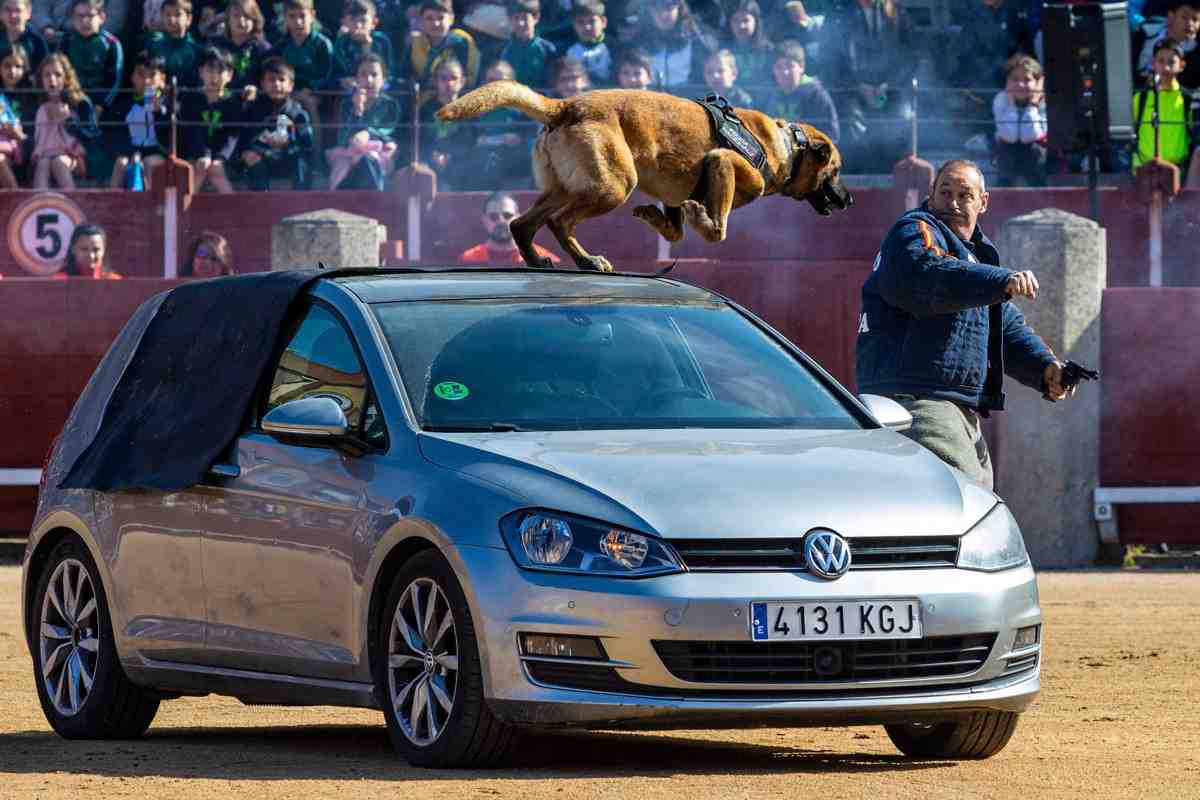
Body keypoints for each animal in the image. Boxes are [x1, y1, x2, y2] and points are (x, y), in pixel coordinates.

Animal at [436, 82, 849, 272]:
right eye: (836, 170)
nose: (849, 199)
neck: (788, 145)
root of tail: (565, 106)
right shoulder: (723, 161)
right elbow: (717, 229)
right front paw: (704, 219)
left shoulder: (674, 195)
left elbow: (676, 229)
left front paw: (656, 218)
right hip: (613, 186)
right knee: (559, 222)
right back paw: (588, 261)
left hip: (564, 188)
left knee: (522, 224)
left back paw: (538, 260)